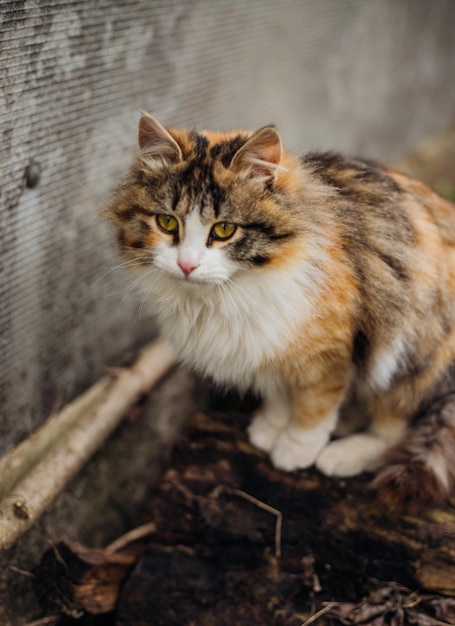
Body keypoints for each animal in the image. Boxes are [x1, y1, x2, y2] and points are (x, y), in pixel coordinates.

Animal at [105, 112, 455, 510]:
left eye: (224, 230)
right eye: (167, 223)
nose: (187, 265)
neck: (226, 295)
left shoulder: (328, 353)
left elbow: (314, 407)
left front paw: (295, 448)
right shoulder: (266, 344)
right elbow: (278, 393)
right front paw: (271, 427)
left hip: (406, 354)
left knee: (394, 429)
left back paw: (342, 453)